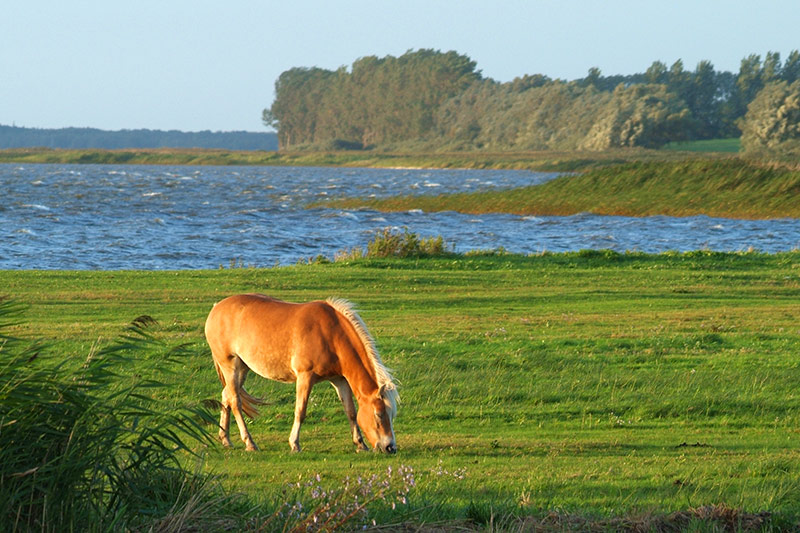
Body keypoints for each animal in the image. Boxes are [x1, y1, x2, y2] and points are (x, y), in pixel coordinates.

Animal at [203, 294, 396, 450]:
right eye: (378, 415)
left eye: (391, 414)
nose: (390, 448)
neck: (330, 334)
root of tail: (216, 308)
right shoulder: (305, 377)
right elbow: (300, 411)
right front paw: (294, 443)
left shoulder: (340, 380)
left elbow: (351, 412)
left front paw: (360, 444)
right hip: (230, 366)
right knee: (236, 402)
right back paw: (249, 443)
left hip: (242, 368)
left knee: (227, 395)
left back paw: (226, 439)